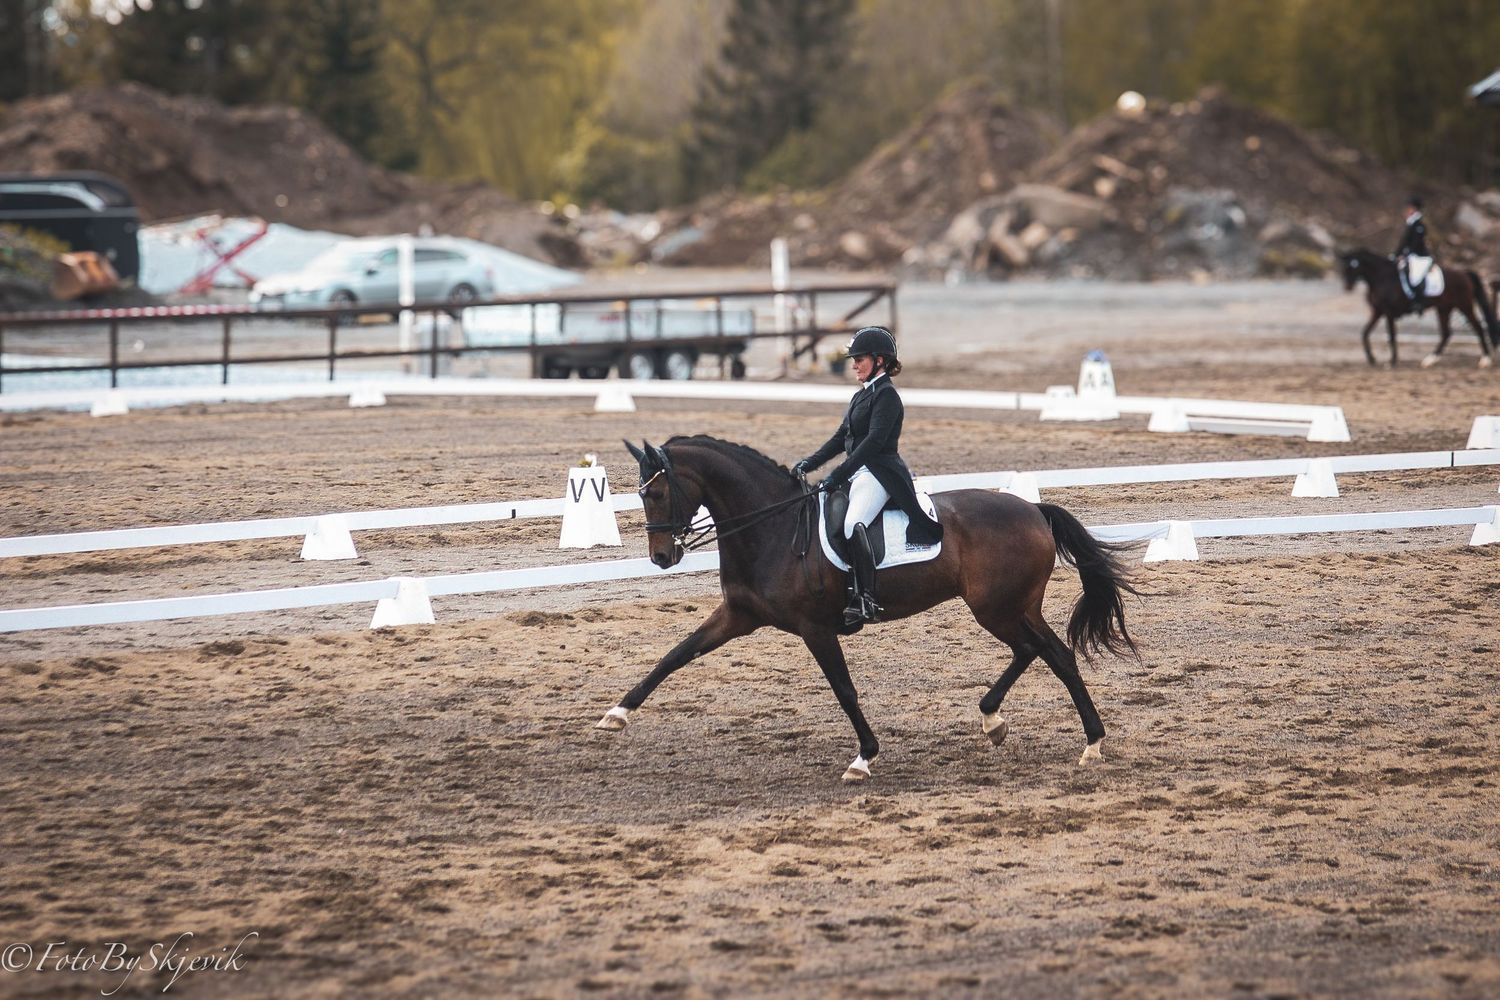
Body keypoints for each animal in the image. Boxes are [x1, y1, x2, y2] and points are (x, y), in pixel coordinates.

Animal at [595, 436, 1141, 782]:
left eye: (657, 492)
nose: (661, 558)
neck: (772, 529)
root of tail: (1033, 510)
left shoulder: (815, 627)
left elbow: (844, 690)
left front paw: (864, 758)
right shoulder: (738, 617)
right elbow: (675, 655)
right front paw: (615, 715)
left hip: (998, 609)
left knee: (1054, 655)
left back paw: (1091, 743)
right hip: (1009, 608)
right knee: (1037, 651)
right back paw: (995, 721)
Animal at [1339, 249, 1499, 368]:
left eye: (1353, 267)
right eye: (1344, 268)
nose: (1347, 287)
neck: (1382, 277)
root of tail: (1464, 273)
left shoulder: (1388, 312)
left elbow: (1391, 336)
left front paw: (1392, 361)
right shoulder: (1378, 311)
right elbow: (1365, 333)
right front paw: (1372, 358)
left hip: (1464, 306)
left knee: (1477, 328)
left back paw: (1485, 360)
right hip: (1444, 308)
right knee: (1446, 333)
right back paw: (1430, 360)